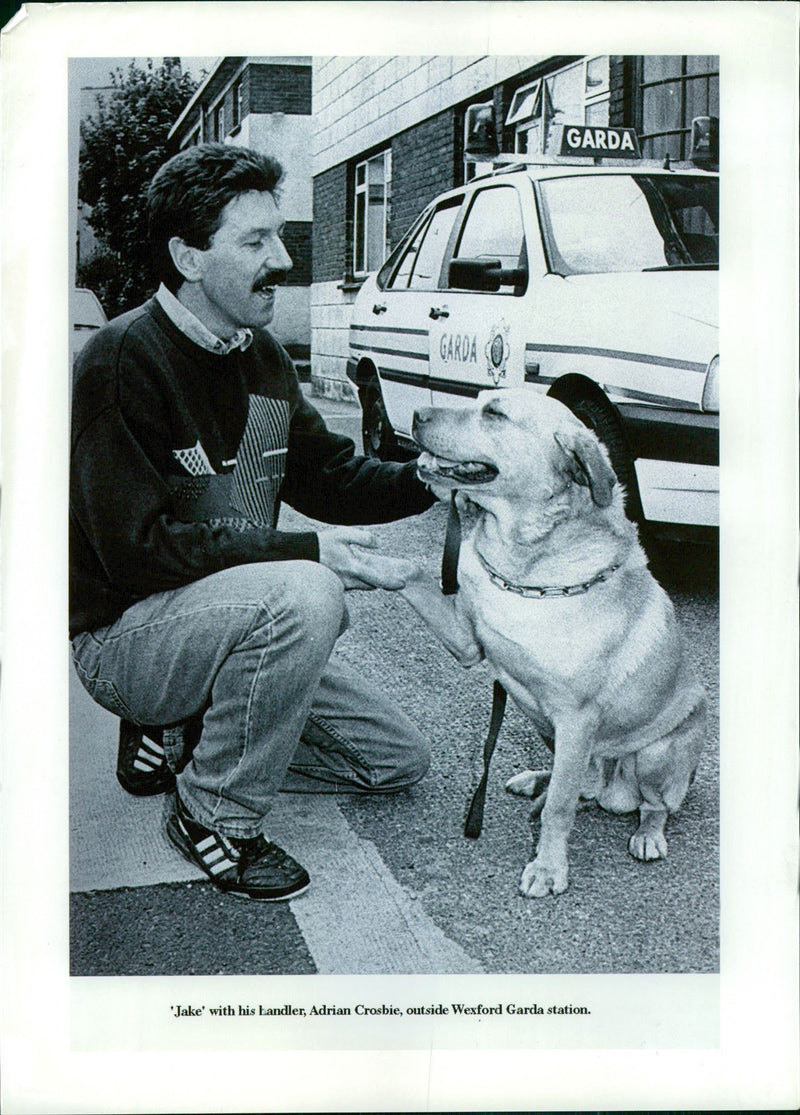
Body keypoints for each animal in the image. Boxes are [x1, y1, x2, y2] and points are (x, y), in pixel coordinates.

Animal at [399, 390, 705, 896]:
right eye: (478, 398)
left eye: (494, 414)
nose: (416, 414)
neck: (526, 567)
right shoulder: (469, 642)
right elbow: (407, 573)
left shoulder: (576, 718)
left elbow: (561, 808)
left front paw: (547, 868)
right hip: (540, 720)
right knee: (579, 782)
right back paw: (536, 782)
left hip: (655, 755)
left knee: (651, 805)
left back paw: (647, 834)